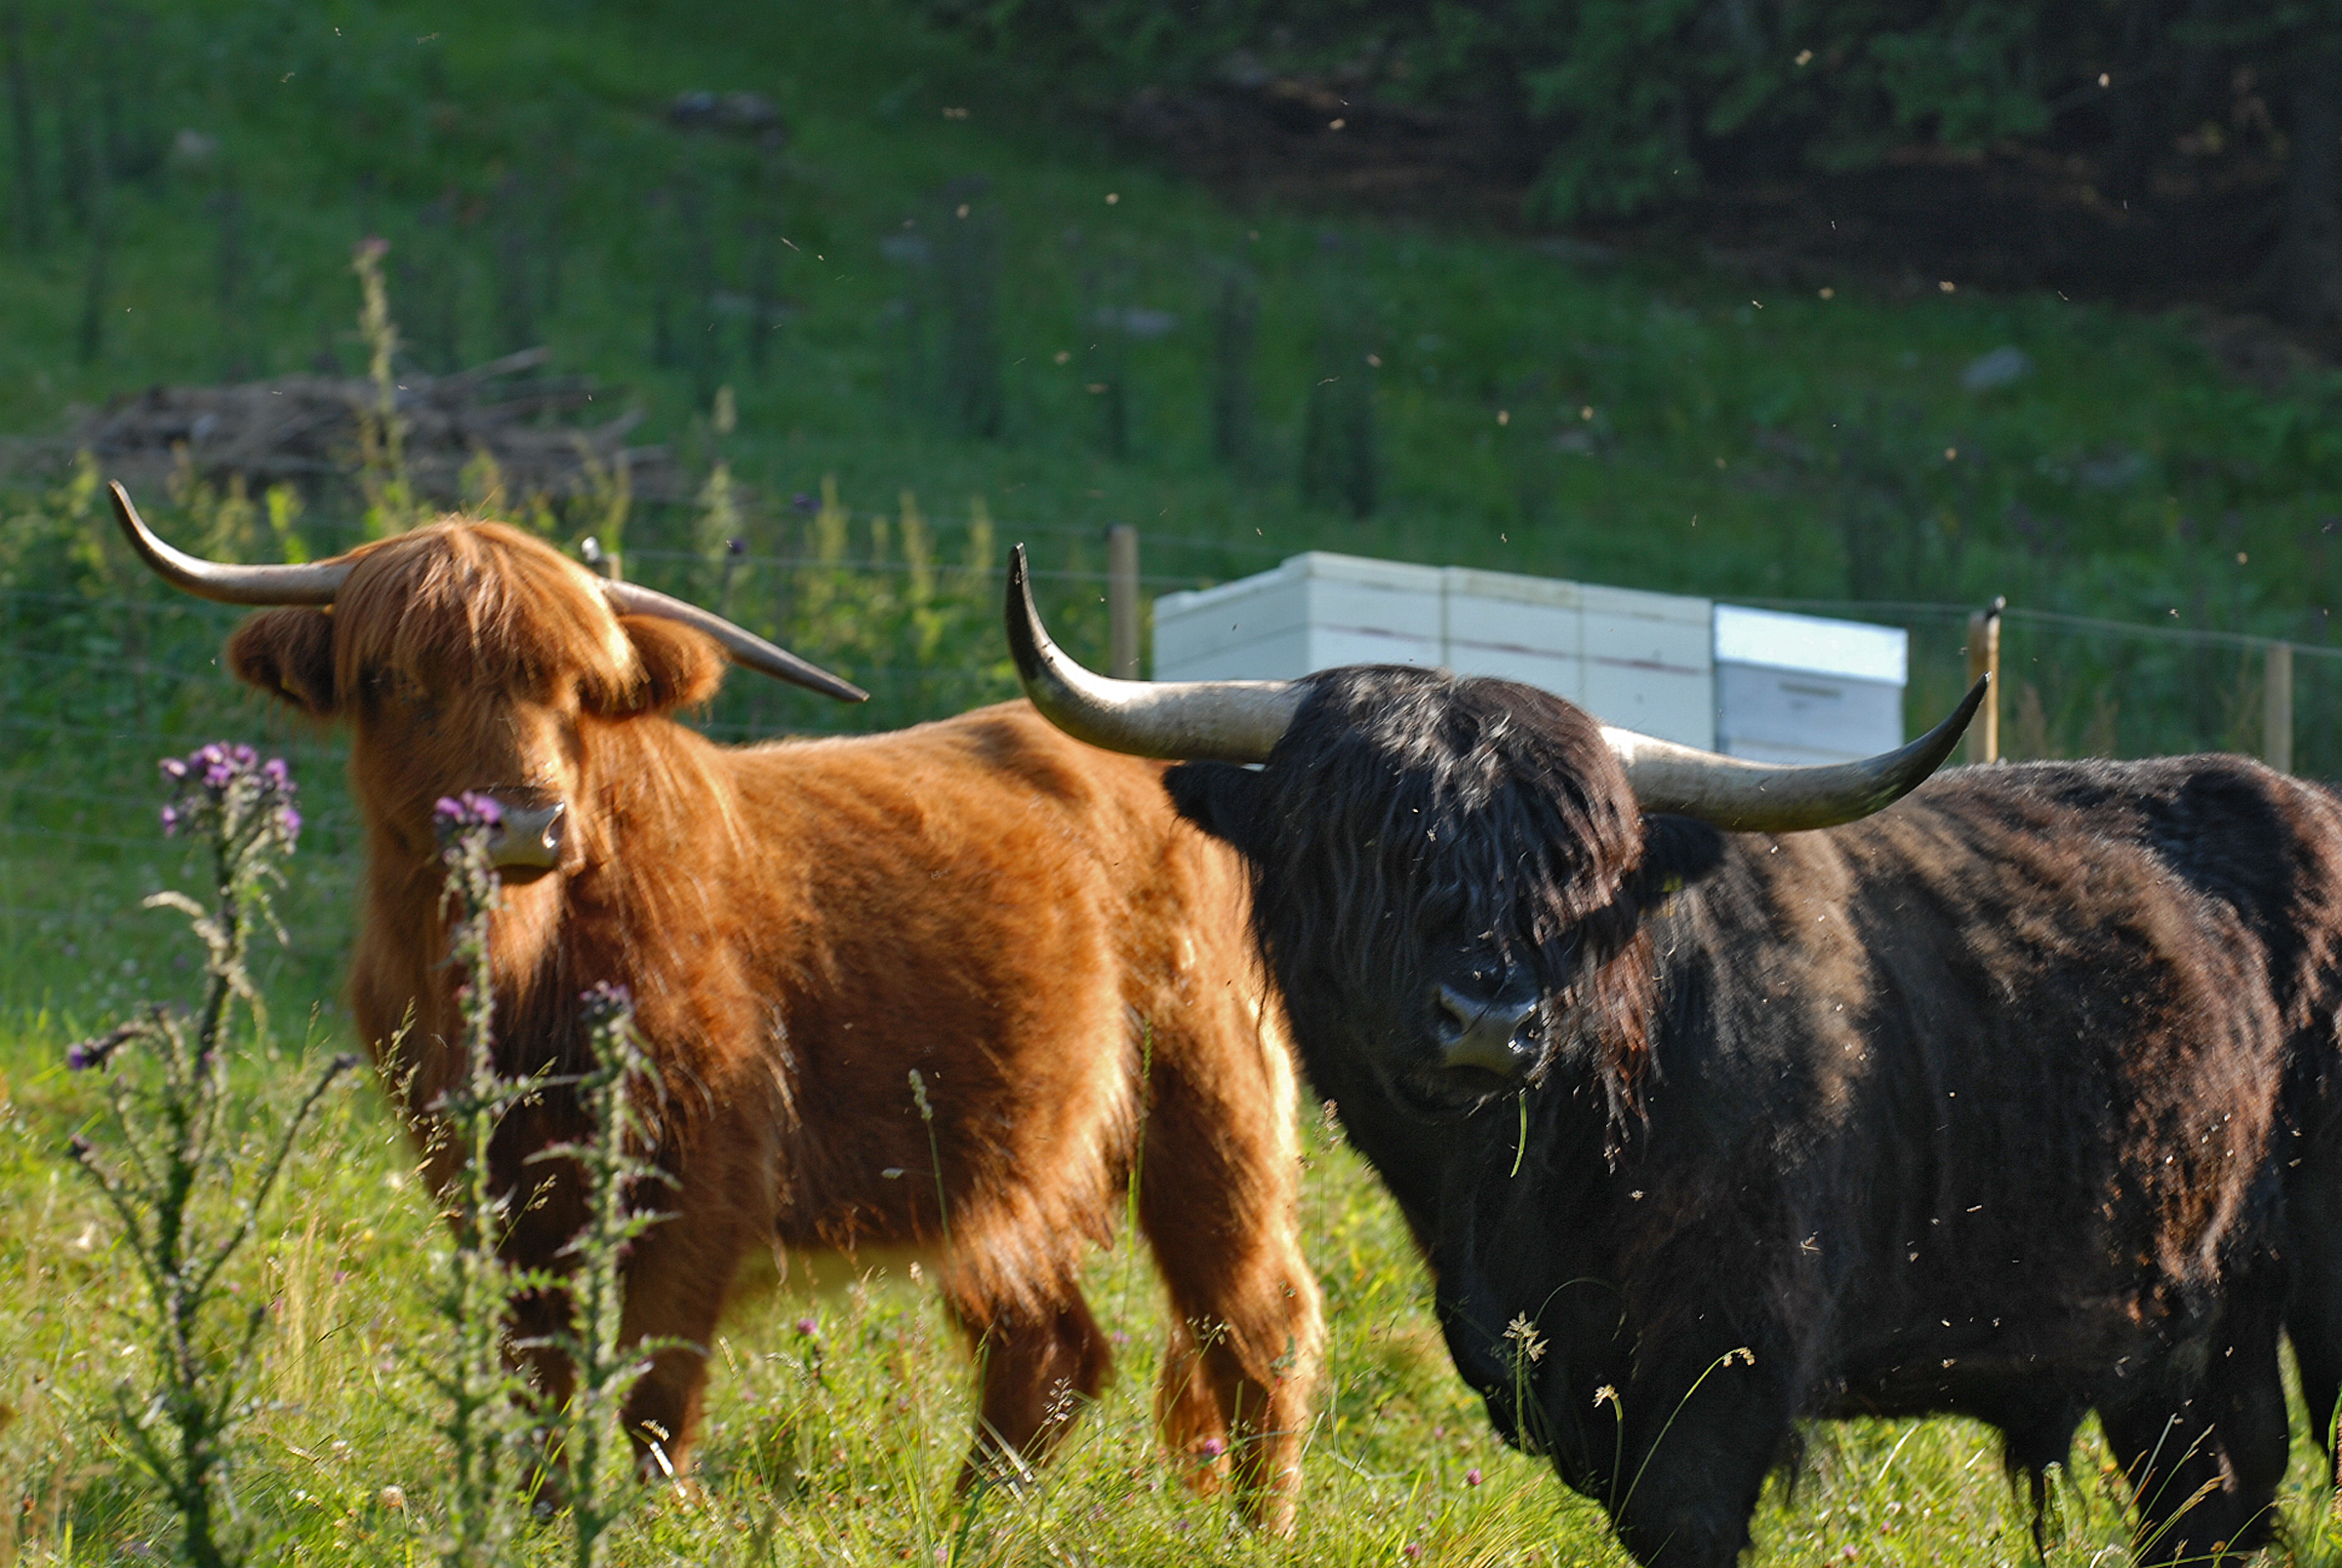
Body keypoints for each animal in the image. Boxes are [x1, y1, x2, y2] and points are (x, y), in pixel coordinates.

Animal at [109, 485, 1324, 1530]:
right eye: (403, 680)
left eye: (572, 689)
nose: (525, 824)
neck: (517, 976)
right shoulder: (488, 1195)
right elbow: (540, 1391)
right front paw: (547, 1518)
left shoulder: (702, 1174)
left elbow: (652, 1389)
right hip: (1010, 1168)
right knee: (1050, 1350)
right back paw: (970, 1525)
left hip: (1210, 1101)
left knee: (1252, 1324)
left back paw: (1251, 1530)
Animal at [1006, 544, 2342, 1567]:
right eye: (1370, 839)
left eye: (1578, 863)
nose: (1487, 1017)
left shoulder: (1724, 1367)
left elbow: (1686, 1518)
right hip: (2194, 1333)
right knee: (2218, 1498)